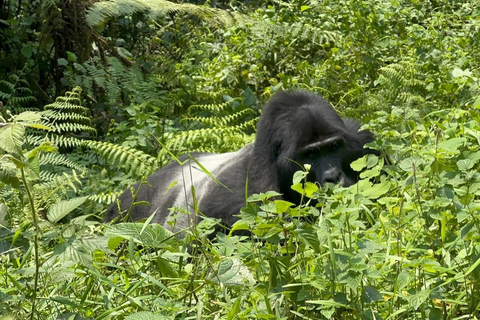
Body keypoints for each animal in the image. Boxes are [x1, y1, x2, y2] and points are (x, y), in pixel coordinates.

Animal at [105, 90, 378, 232]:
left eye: (334, 147)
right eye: (310, 155)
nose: (332, 177)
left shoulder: (364, 142)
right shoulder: (248, 199)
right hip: (127, 209)